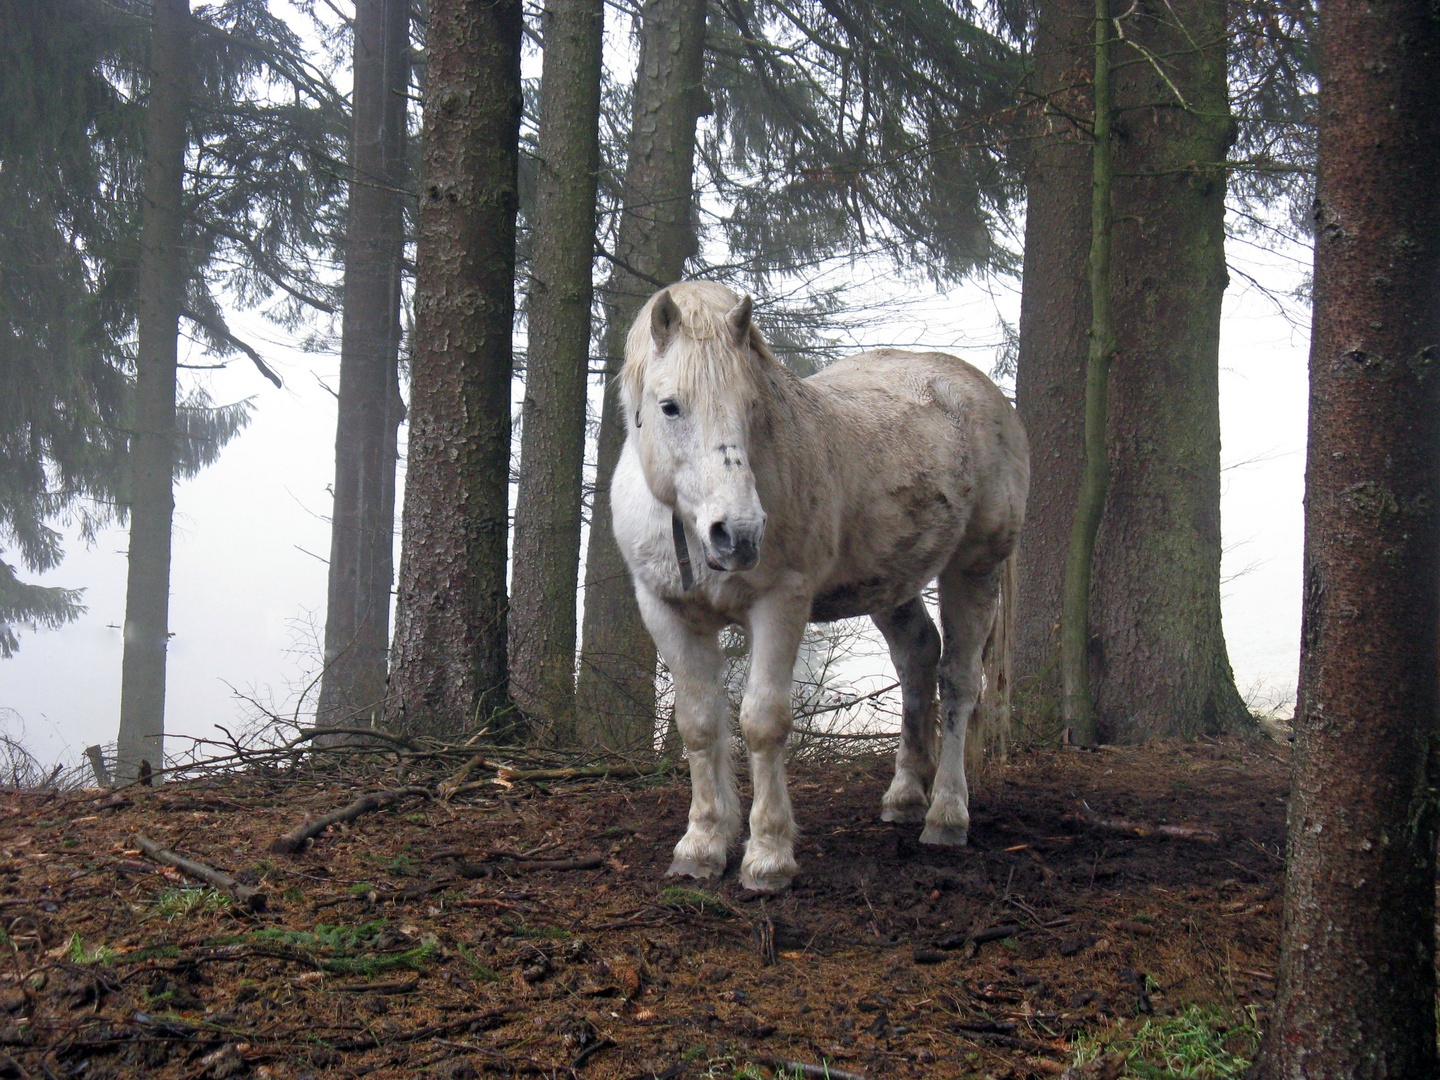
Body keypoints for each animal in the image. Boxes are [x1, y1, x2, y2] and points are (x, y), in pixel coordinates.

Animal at [613, 283, 1031, 892]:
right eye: (670, 406)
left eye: (752, 406)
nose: (738, 534)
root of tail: (980, 391)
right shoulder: (666, 611)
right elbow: (699, 724)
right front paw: (702, 844)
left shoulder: (779, 605)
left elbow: (762, 723)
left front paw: (767, 855)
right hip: (892, 583)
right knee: (917, 657)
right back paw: (905, 796)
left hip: (975, 570)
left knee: (957, 681)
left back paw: (947, 814)